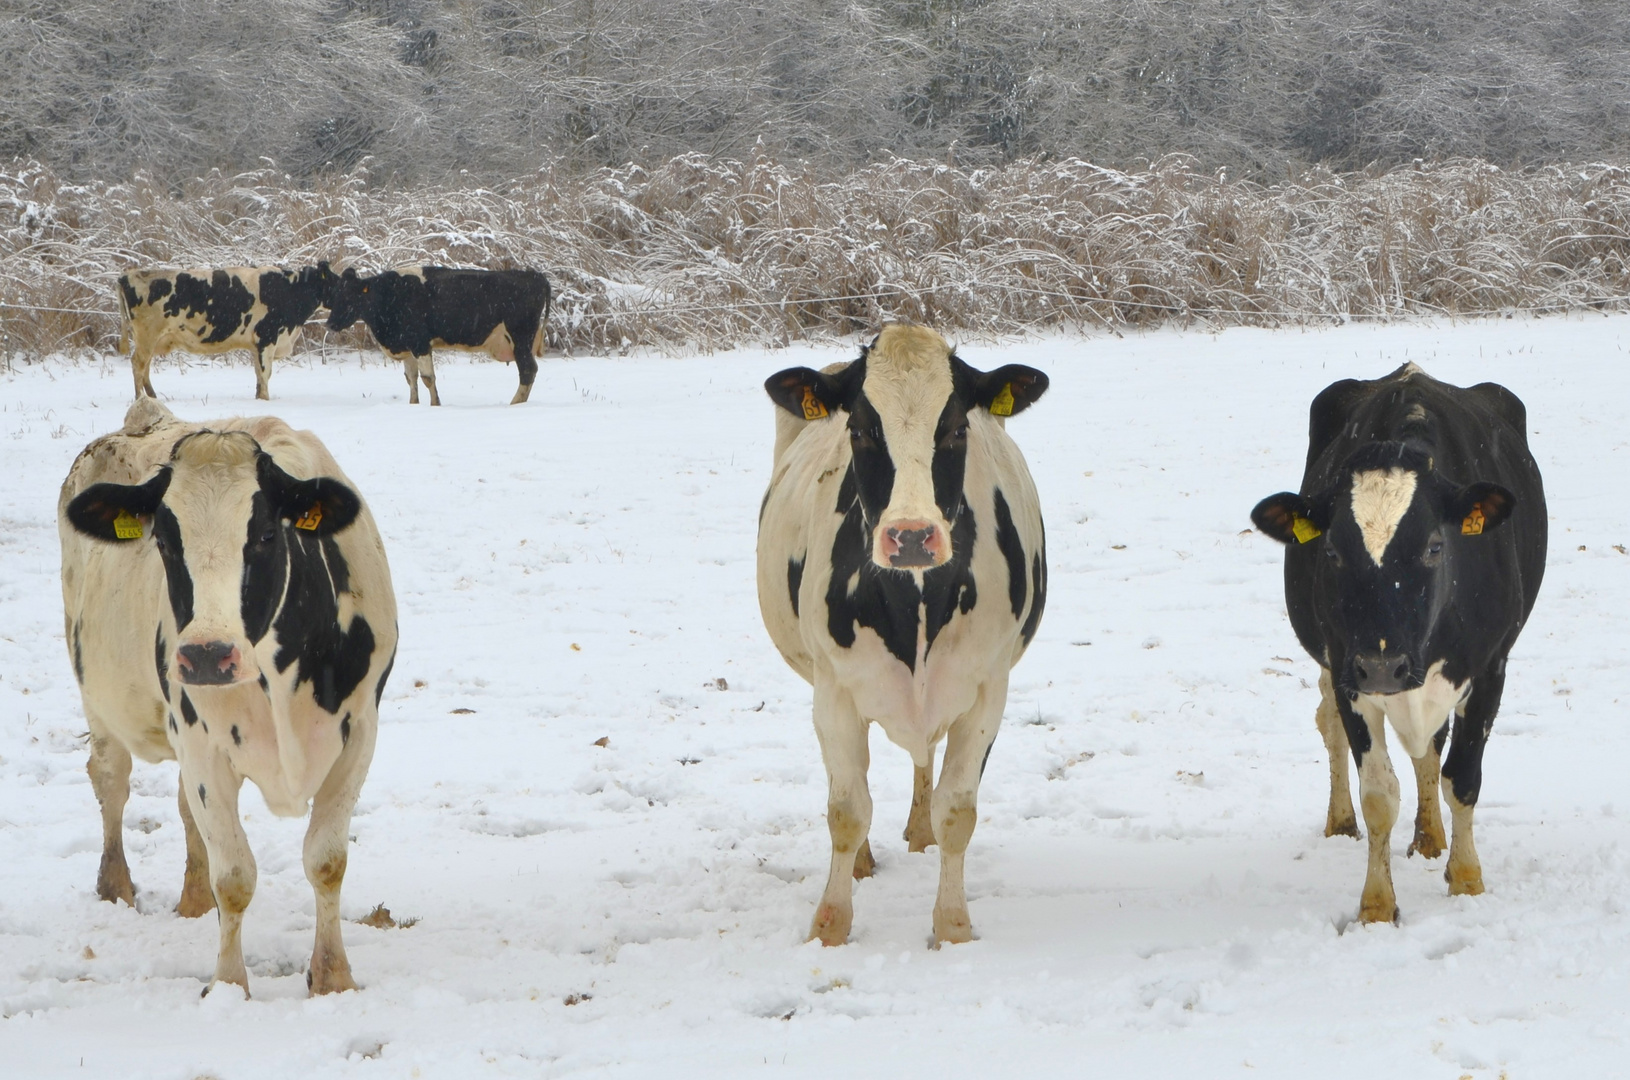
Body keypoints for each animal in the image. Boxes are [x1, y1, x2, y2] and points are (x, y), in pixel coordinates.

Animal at [61, 399, 399, 996]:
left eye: (265, 535)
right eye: (164, 541)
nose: (206, 655)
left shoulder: (360, 734)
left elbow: (327, 860)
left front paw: (332, 977)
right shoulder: (204, 747)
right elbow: (236, 875)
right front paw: (228, 986)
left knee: (180, 804)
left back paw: (194, 901)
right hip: (100, 699)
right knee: (110, 779)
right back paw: (116, 885)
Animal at [118, 263, 334, 403]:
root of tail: (128, 275)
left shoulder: (257, 345)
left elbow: (258, 373)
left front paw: (258, 399)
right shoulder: (267, 339)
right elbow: (265, 373)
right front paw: (266, 399)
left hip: (150, 340)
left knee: (145, 365)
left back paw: (152, 397)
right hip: (147, 336)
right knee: (138, 364)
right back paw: (140, 398)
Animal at [324, 265, 554, 405]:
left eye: (350, 296)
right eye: (334, 294)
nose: (329, 324)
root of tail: (533, 275)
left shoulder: (420, 343)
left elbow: (427, 378)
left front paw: (435, 405)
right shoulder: (408, 346)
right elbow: (411, 379)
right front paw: (413, 404)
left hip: (520, 337)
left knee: (528, 370)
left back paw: (515, 404)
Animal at [756, 322, 1049, 944]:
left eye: (957, 427)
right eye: (862, 429)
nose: (911, 535)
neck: (915, 603)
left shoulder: (986, 691)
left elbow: (957, 809)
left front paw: (953, 927)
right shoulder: (835, 691)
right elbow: (847, 809)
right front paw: (830, 926)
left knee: (925, 759)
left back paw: (921, 833)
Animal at [1251, 368, 1545, 925]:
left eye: (1434, 546)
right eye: (1331, 550)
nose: (1384, 666)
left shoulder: (1490, 668)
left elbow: (1461, 778)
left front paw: (1467, 879)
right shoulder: (1351, 671)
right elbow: (1380, 794)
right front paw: (1377, 906)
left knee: (1432, 750)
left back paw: (1431, 838)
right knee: (1332, 727)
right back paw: (1342, 821)